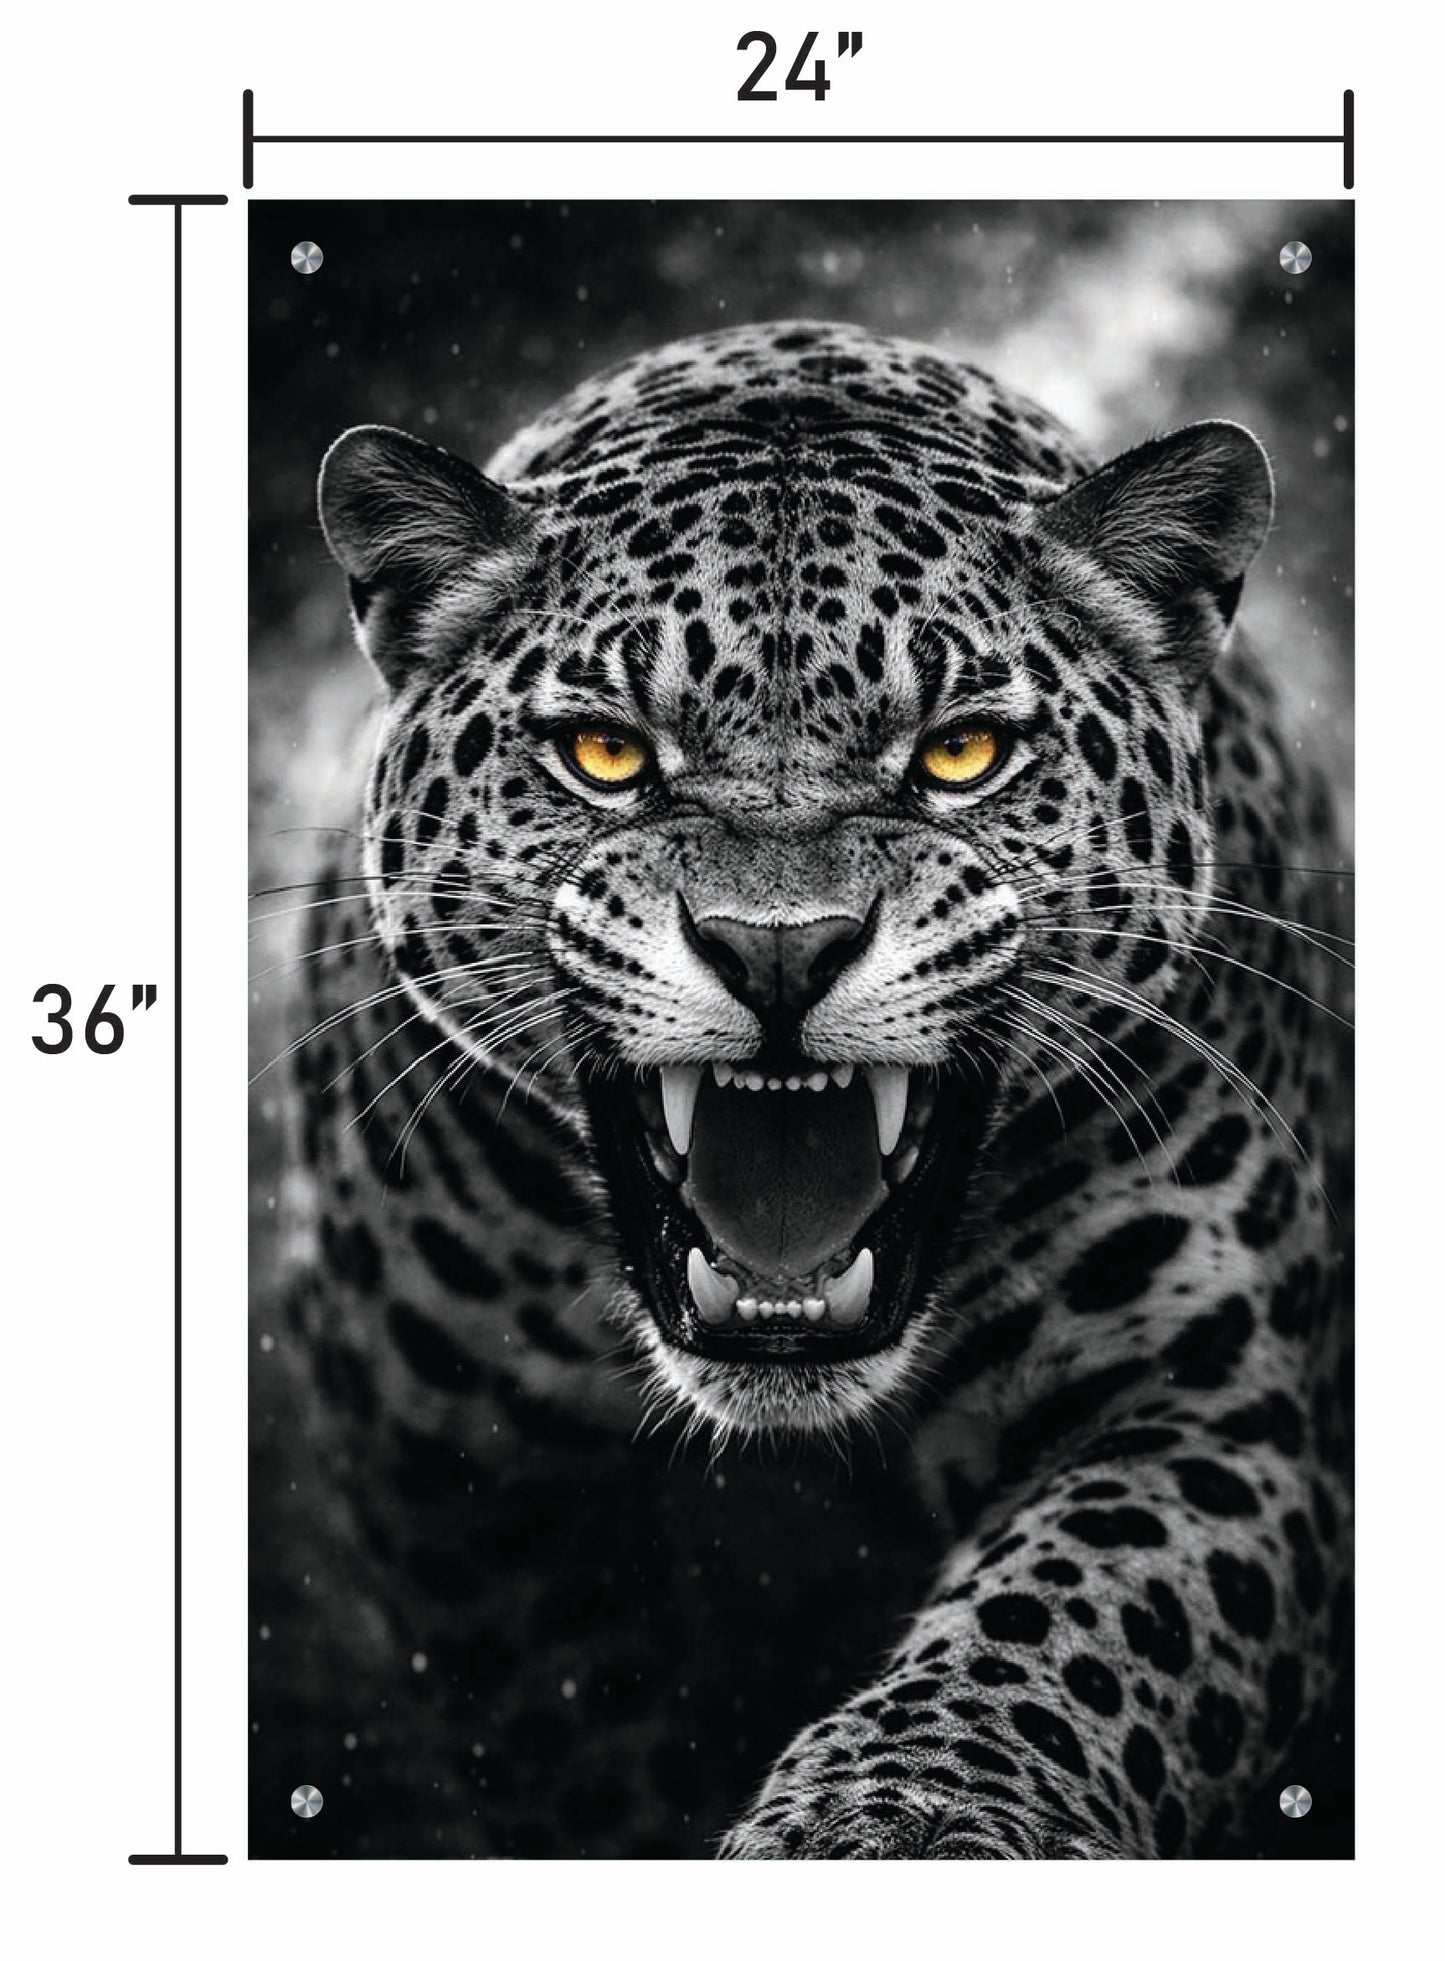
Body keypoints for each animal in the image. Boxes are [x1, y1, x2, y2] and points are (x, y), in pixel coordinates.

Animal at [252, 320, 1352, 1859]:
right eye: (606, 753)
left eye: (960, 752)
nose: (779, 947)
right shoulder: (462, 1469)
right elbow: (577, 1729)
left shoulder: (1200, 1409)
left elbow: (1057, 1626)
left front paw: (898, 1820)